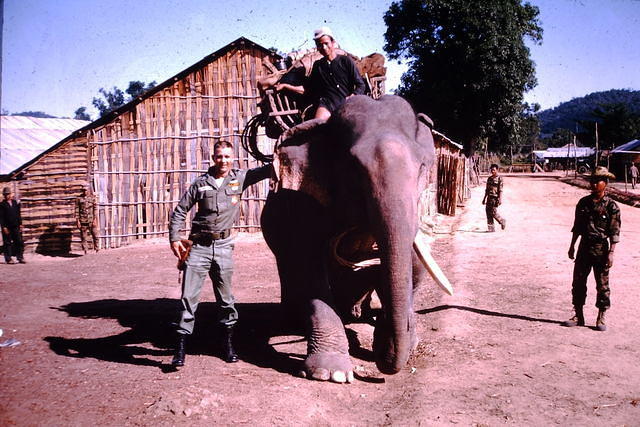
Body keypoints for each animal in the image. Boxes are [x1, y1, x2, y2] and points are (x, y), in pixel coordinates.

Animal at [258, 94, 440, 384]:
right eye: (353, 168)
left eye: (423, 166)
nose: (383, 361)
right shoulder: (300, 200)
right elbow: (309, 266)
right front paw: (331, 373)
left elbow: (414, 263)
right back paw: (295, 318)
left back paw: (357, 313)